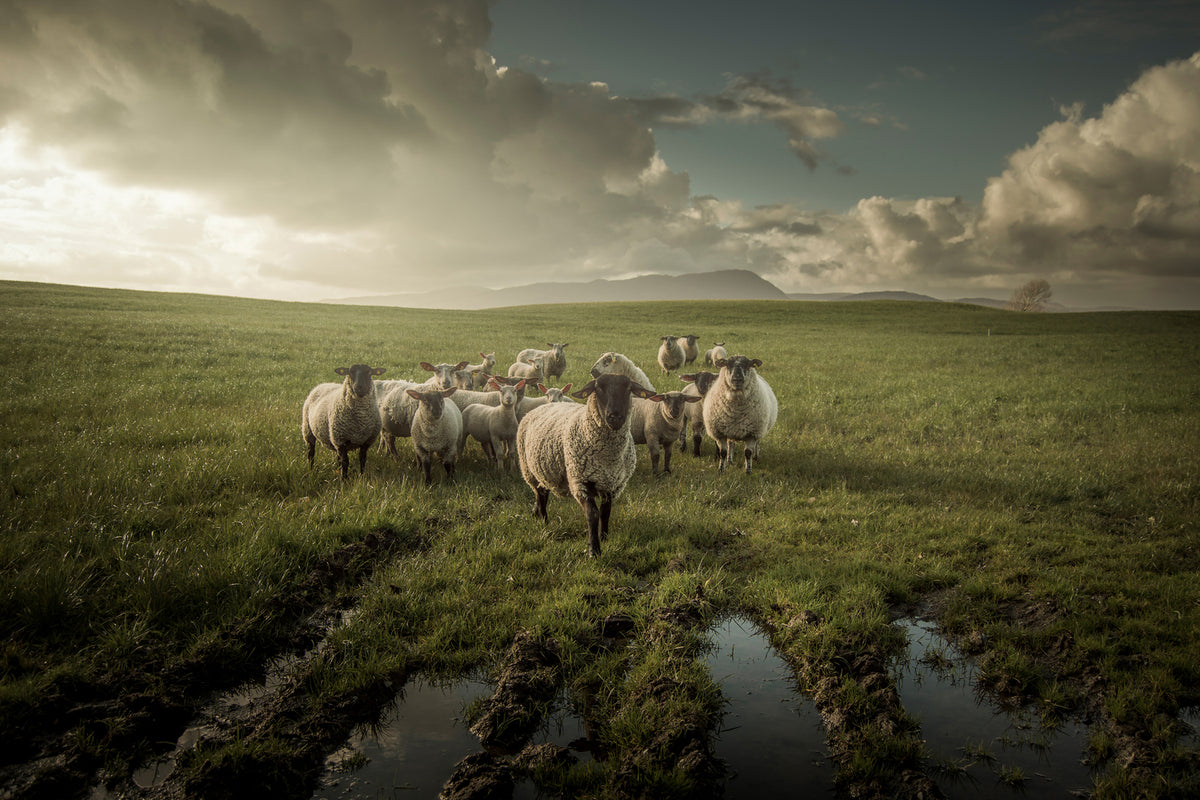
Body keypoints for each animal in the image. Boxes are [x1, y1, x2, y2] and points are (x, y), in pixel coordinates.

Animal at [516, 373, 656, 557]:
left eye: (628, 388)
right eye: (598, 388)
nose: (615, 417)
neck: (608, 457)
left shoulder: (612, 484)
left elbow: (605, 513)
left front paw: (604, 537)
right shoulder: (580, 482)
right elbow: (593, 514)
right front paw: (593, 549)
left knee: (541, 493)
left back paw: (537, 514)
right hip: (529, 470)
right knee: (541, 496)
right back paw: (544, 521)